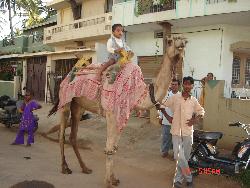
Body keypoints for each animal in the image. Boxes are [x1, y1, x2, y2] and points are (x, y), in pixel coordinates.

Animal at [48, 36, 187, 187]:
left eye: (183, 40)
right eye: (170, 41)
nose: (182, 43)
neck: (138, 92)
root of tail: (66, 76)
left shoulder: (122, 116)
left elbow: (114, 148)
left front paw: (114, 179)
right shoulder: (111, 114)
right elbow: (109, 148)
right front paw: (107, 182)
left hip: (78, 106)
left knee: (73, 136)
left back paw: (85, 168)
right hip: (65, 101)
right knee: (62, 134)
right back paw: (65, 168)